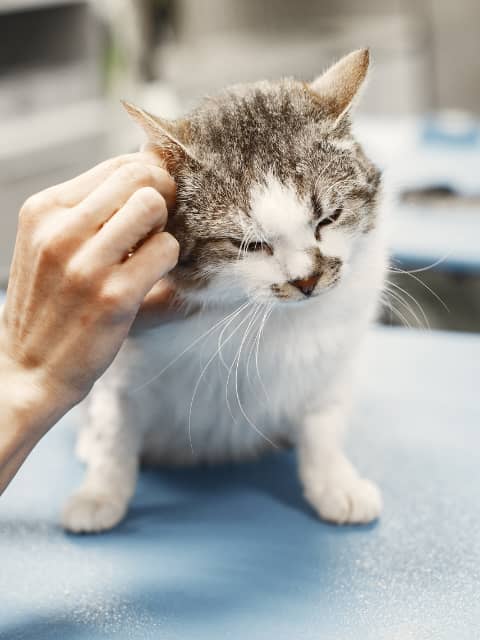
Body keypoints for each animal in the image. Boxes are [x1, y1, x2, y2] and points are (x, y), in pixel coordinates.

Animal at [62, 47, 386, 532]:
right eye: (250, 245)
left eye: (328, 219)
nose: (306, 280)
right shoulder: (121, 365)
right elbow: (115, 430)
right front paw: (101, 492)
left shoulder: (330, 364)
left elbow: (322, 424)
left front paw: (335, 483)